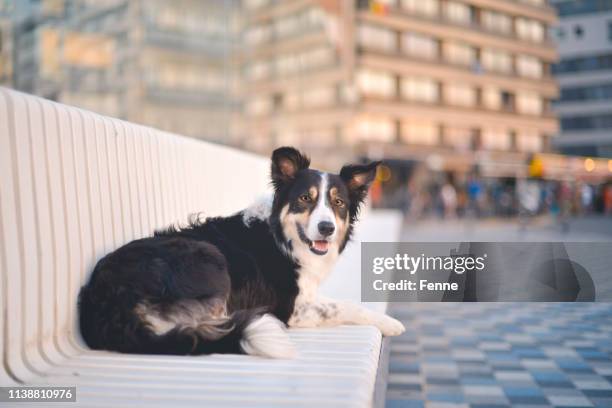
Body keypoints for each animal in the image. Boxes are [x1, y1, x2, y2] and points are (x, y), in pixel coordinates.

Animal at [79, 147, 404, 356]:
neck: (282, 238)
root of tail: (109, 305)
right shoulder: (289, 307)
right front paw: (390, 323)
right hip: (208, 256)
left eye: (338, 203)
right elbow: (344, 306)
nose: (327, 228)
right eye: (304, 198)